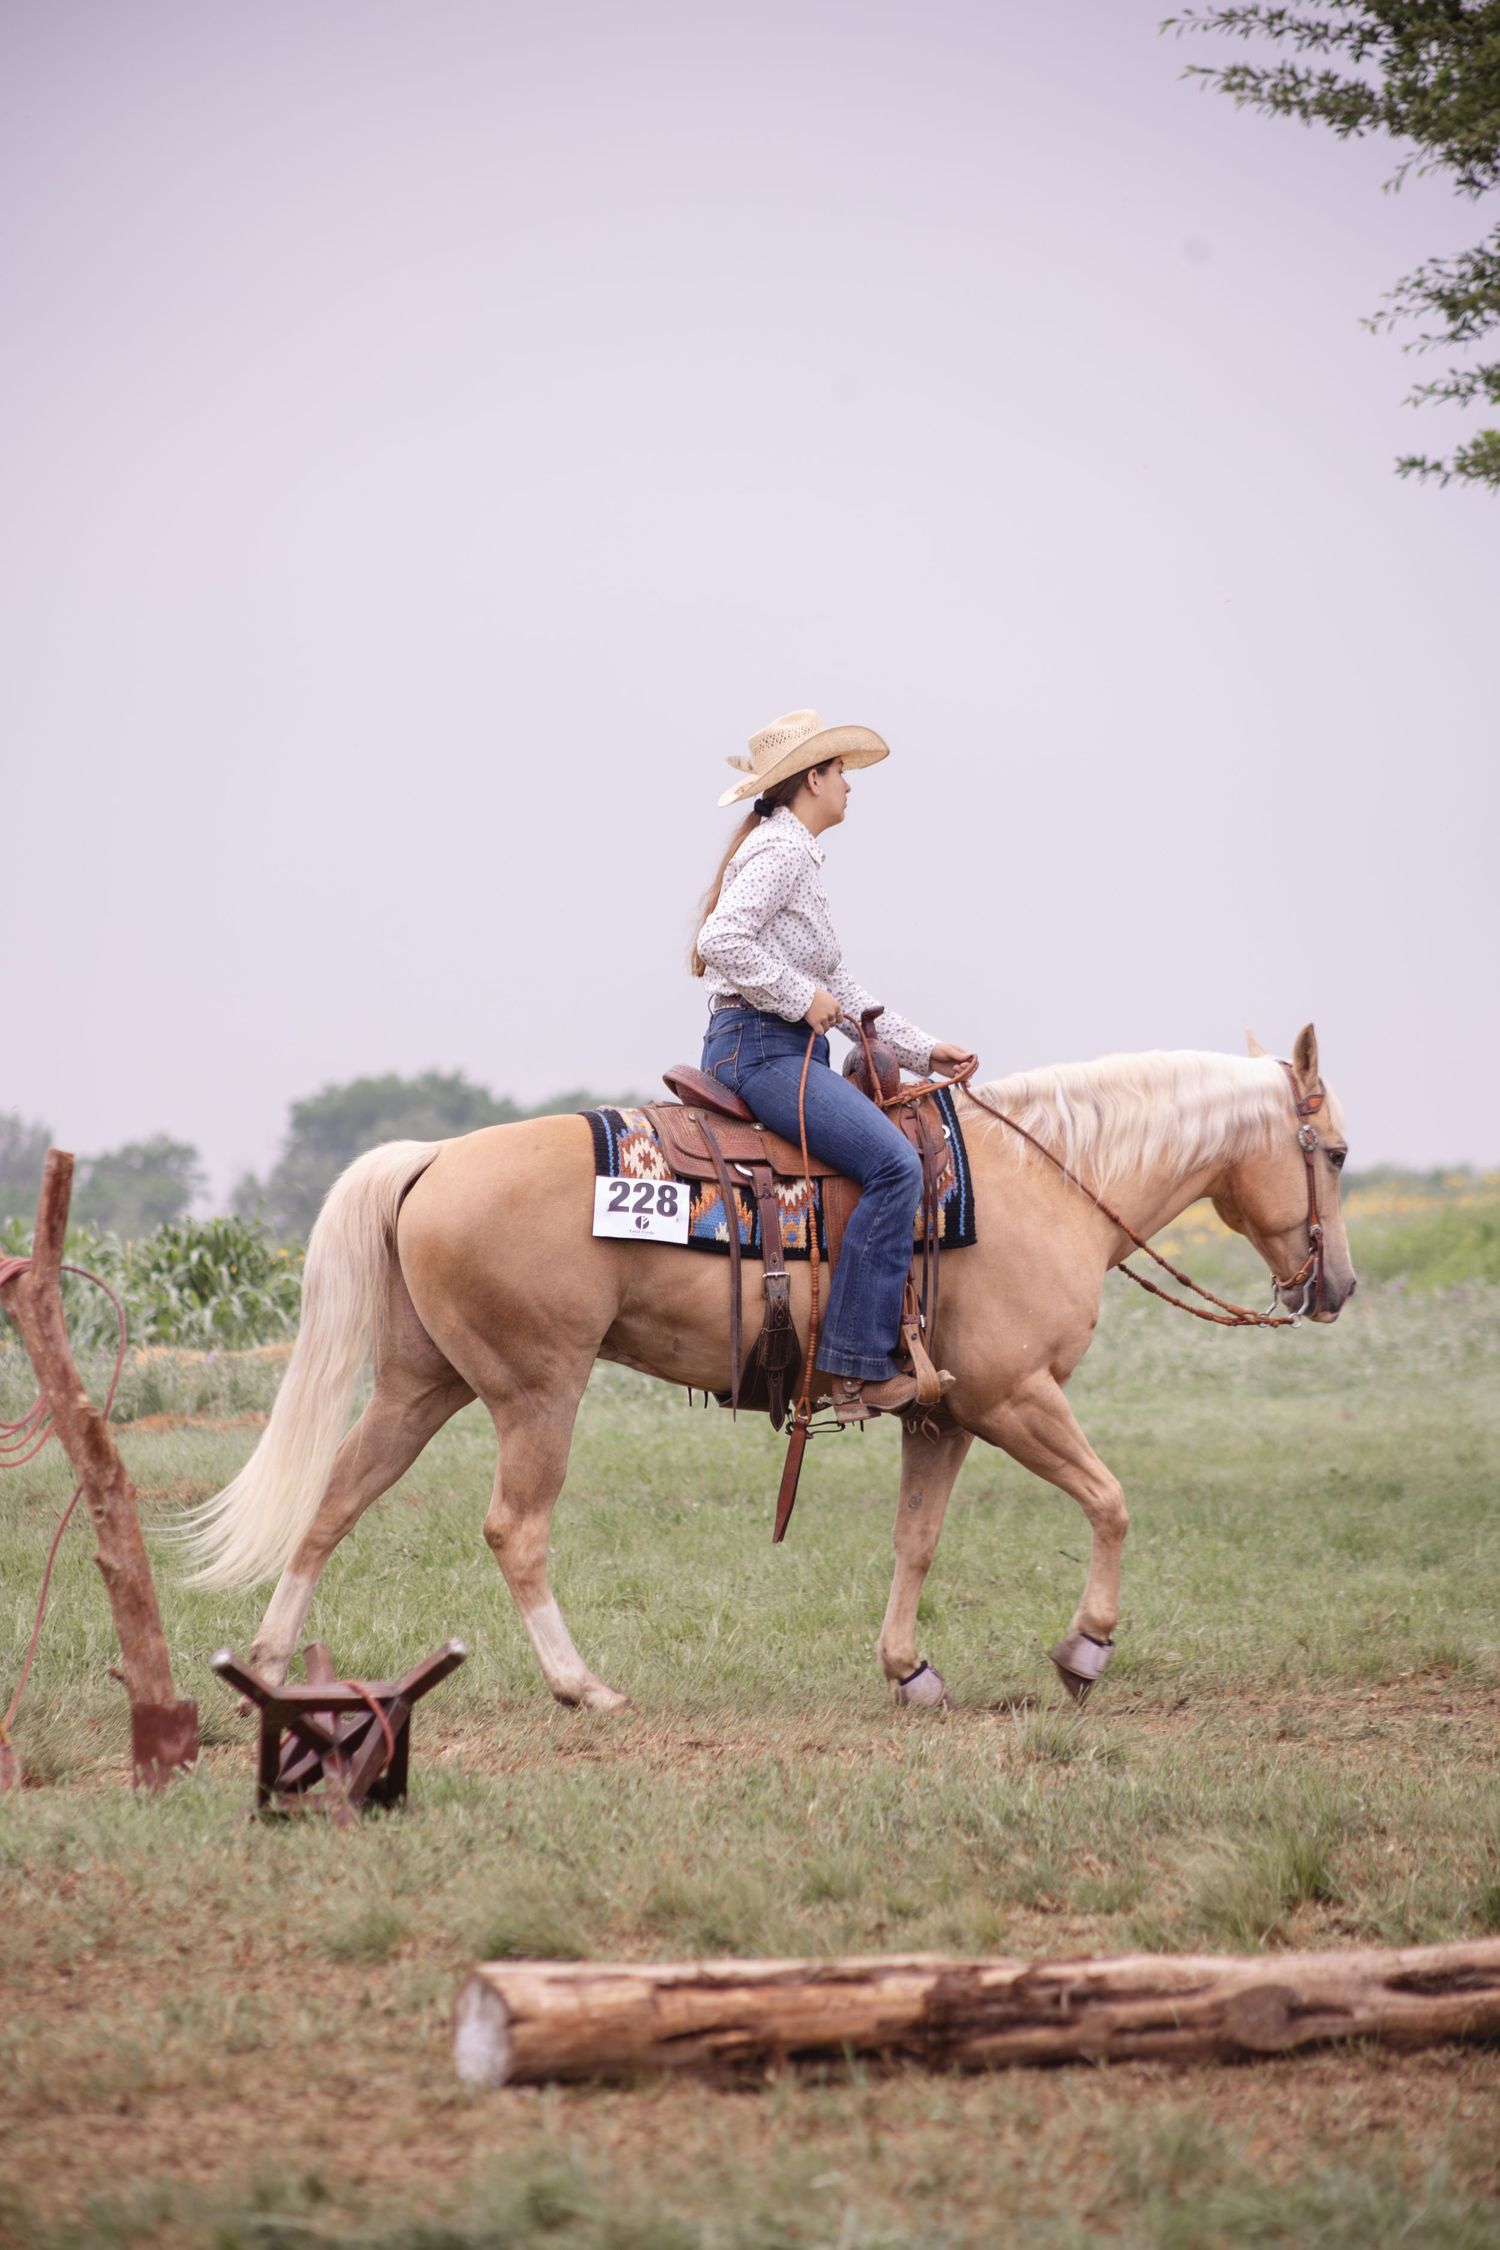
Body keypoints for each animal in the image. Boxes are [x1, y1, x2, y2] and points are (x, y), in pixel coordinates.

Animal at [185, 1024, 1354, 1710]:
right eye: (1336, 1153)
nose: (1337, 1285)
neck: (1041, 1182)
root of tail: (431, 1156)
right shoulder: (1014, 1395)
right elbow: (1110, 1501)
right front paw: (1084, 1652)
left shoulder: (944, 1415)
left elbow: (916, 1540)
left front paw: (908, 1670)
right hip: (536, 1391)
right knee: (515, 1529)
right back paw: (583, 1687)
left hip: (422, 1383)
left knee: (335, 1500)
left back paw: (273, 1668)